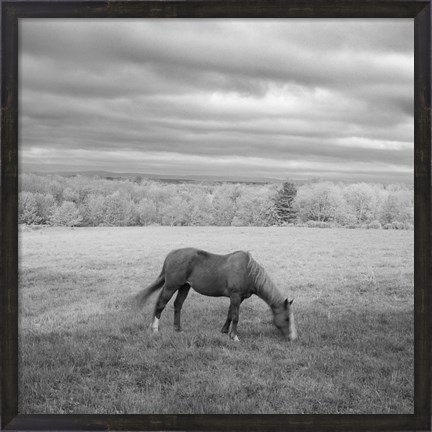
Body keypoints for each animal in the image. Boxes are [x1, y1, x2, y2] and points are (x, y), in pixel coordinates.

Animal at [135, 248, 296, 342]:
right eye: (287, 318)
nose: (293, 338)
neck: (247, 271)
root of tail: (170, 255)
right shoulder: (235, 296)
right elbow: (236, 316)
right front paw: (234, 336)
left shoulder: (238, 298)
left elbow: (230, 314)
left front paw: (225, 331)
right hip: (171, 286)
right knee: (161, 304)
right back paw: (155, 329)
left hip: (184, 287)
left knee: (177, 305)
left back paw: (178, 329)